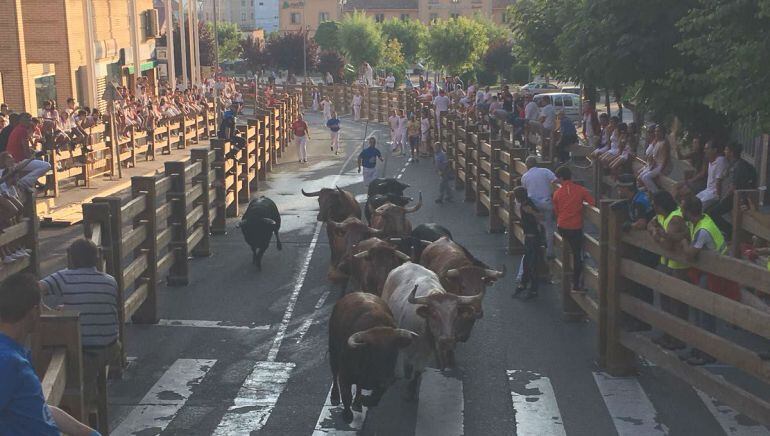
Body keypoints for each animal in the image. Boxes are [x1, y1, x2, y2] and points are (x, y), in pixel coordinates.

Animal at [328, 292, 416, 422]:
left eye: (394, 351)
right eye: (373, 352)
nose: (386, 378)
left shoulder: (386, 382)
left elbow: (375, 397)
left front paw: (364, 401)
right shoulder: (345, 376)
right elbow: (346, 396)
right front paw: (347, 415)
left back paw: (358, 403)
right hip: (333, 351)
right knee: (334, 373)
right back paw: (334, 396)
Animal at [380, 260, 480, 396]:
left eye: (455, 315)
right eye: (433, 314)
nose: (446, 340)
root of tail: (408, 263)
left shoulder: (425, 354)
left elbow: (418, 371)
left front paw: (411, 390)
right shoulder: (406, 347)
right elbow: (406, 362)